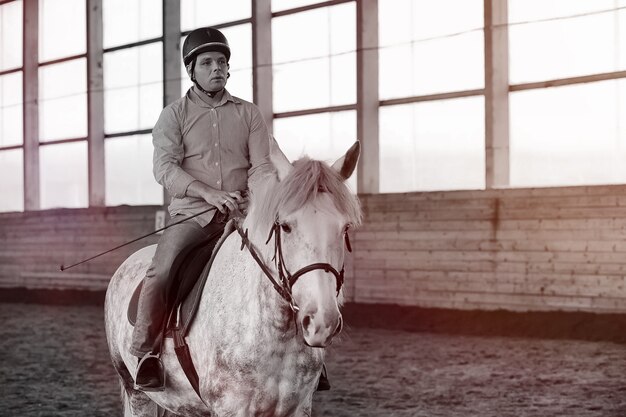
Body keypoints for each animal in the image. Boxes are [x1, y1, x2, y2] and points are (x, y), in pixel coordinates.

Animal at [105, 141, 360, 414]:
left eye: (345, 228)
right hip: (135, 392)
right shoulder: (231, 408)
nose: (322, 322)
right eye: (286, 226)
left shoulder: (299, 407)